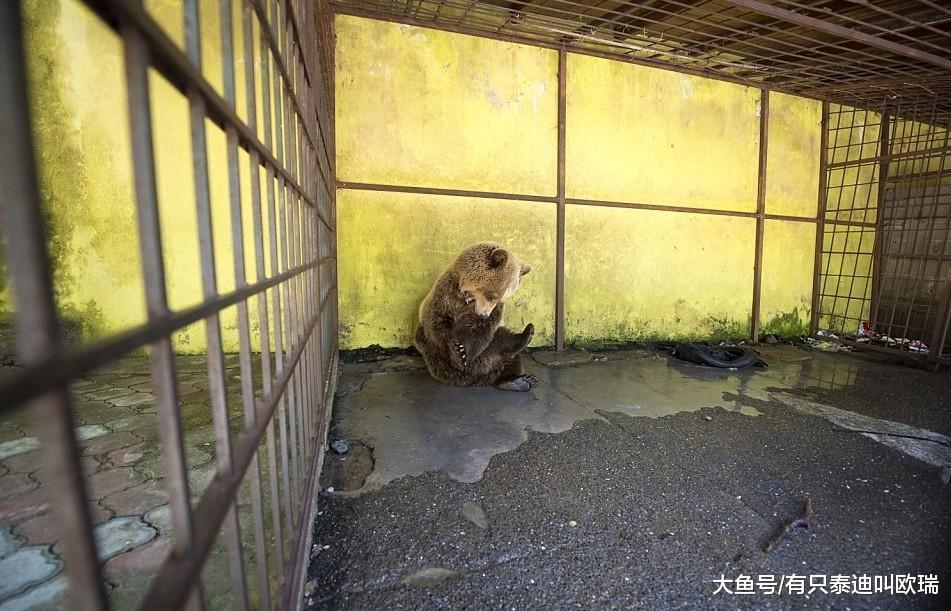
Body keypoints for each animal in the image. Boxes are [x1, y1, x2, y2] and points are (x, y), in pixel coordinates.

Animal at [414, 242, 538, 392]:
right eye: (491, 295)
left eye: (500, 299)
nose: (484, 315)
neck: (468, 297)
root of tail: (482, 379)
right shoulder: (446, 296)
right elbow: (438, 326)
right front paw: (458, 353)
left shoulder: (488, 314)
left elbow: (479, 333)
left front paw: (462, 353)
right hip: (436, 360)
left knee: (504, 346)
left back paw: (519, 379)